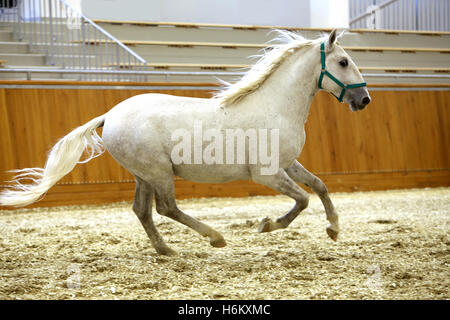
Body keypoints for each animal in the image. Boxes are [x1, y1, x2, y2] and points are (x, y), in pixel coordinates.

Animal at [0, 30, 370, 255]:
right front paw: (267, 225)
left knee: (142, 211)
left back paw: (166, 249)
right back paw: (215, 237)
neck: (275, 105)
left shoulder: (288, 164)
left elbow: (319, 186)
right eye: (343, 62)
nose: (364, 100)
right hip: (159, 172)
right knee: (166, 208)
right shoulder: (266, 174)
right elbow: (303, 199)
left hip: (144, 175)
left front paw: (334, 229)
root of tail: (110, 114)